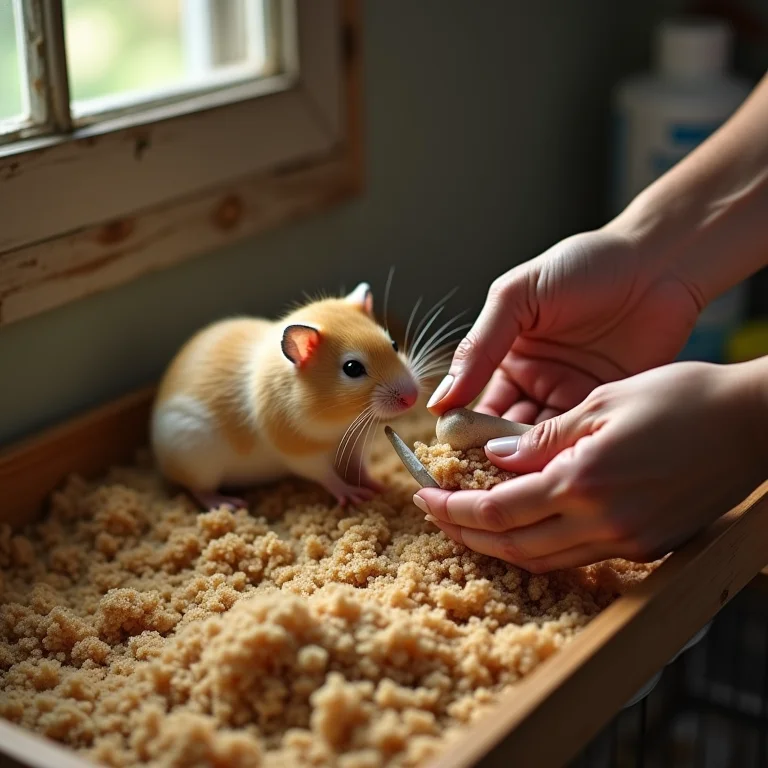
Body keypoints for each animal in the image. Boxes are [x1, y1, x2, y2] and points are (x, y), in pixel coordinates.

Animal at [150, 282, 420, 511]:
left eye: (394, 344)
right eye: (352, 368)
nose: (413, 398)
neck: (341, 421)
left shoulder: (355, 441)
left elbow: (358, 468)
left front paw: (376, 485)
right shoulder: (301, 453)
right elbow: (327, 476)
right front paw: (353, 494)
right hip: (198, 459)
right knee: (198, 490)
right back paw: (224, 503)